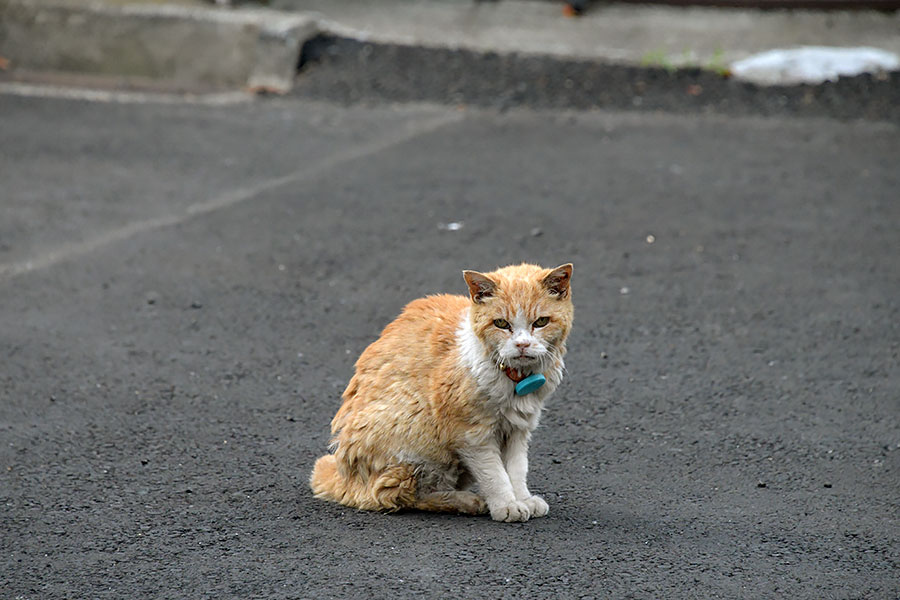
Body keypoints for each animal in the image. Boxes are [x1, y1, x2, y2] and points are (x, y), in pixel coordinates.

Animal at [312, 262, 572, 520]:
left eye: (541, 322)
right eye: (501, 324)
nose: (522, 344)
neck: (515, 377)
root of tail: (344, 477)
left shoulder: (518, 430)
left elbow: (517, 469)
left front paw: (523, 499)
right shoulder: (471, 435)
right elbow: (495, 474)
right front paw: (506, 505)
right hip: (413, 431)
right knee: (396, 495)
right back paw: (467, 502)